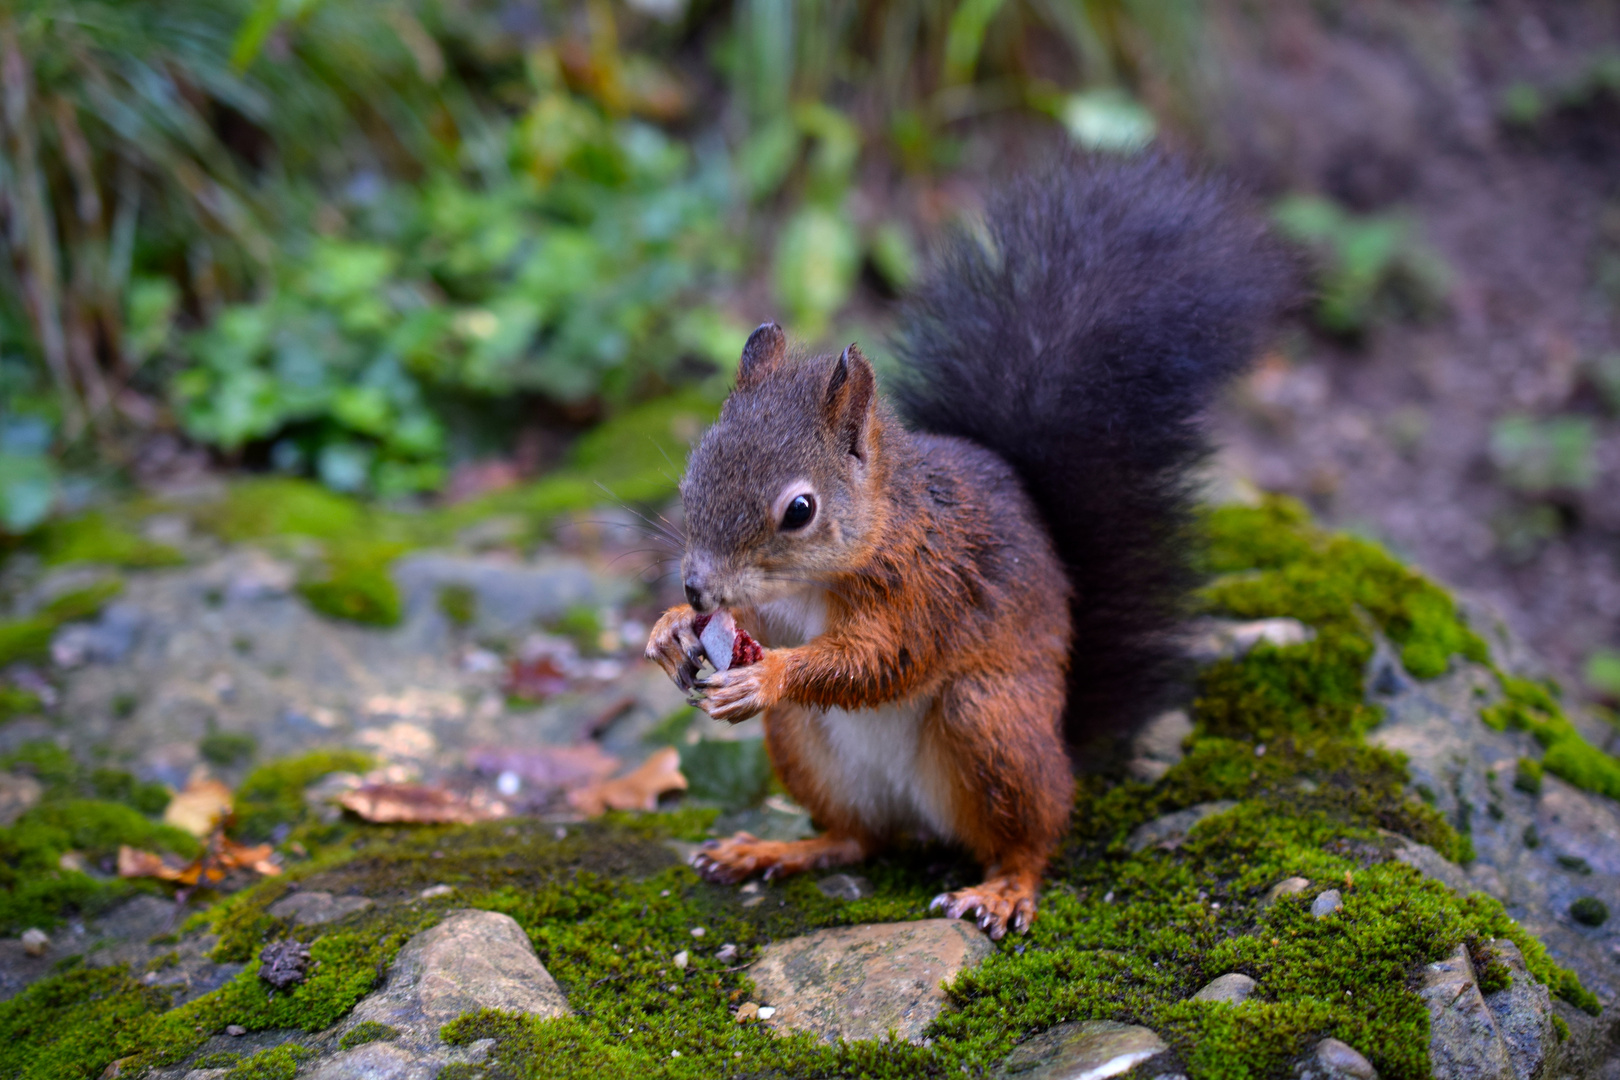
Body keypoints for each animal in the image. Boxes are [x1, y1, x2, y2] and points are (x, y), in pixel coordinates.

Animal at [638, 152, 1283, 939]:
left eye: (800, 510)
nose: (697, 586)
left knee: (1031, 836)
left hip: (991, 723)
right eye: (695, 468)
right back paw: (777, 850)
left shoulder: (931, 587)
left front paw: (770, 675)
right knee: (856, 839)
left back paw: (1003, 889)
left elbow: (883, 659)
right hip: (806, 747)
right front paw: (670, 628)